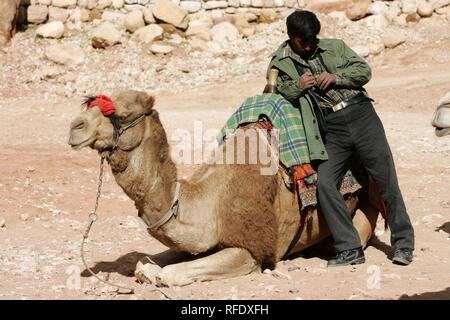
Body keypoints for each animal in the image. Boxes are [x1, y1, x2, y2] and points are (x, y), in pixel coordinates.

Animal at [67, 90, 380, 288]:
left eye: (121, 114)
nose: (75, 126)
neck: (206, 201)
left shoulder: (252, 251)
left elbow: (170, 274)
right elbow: (146, 263)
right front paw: (148, 268)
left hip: (365, 208)